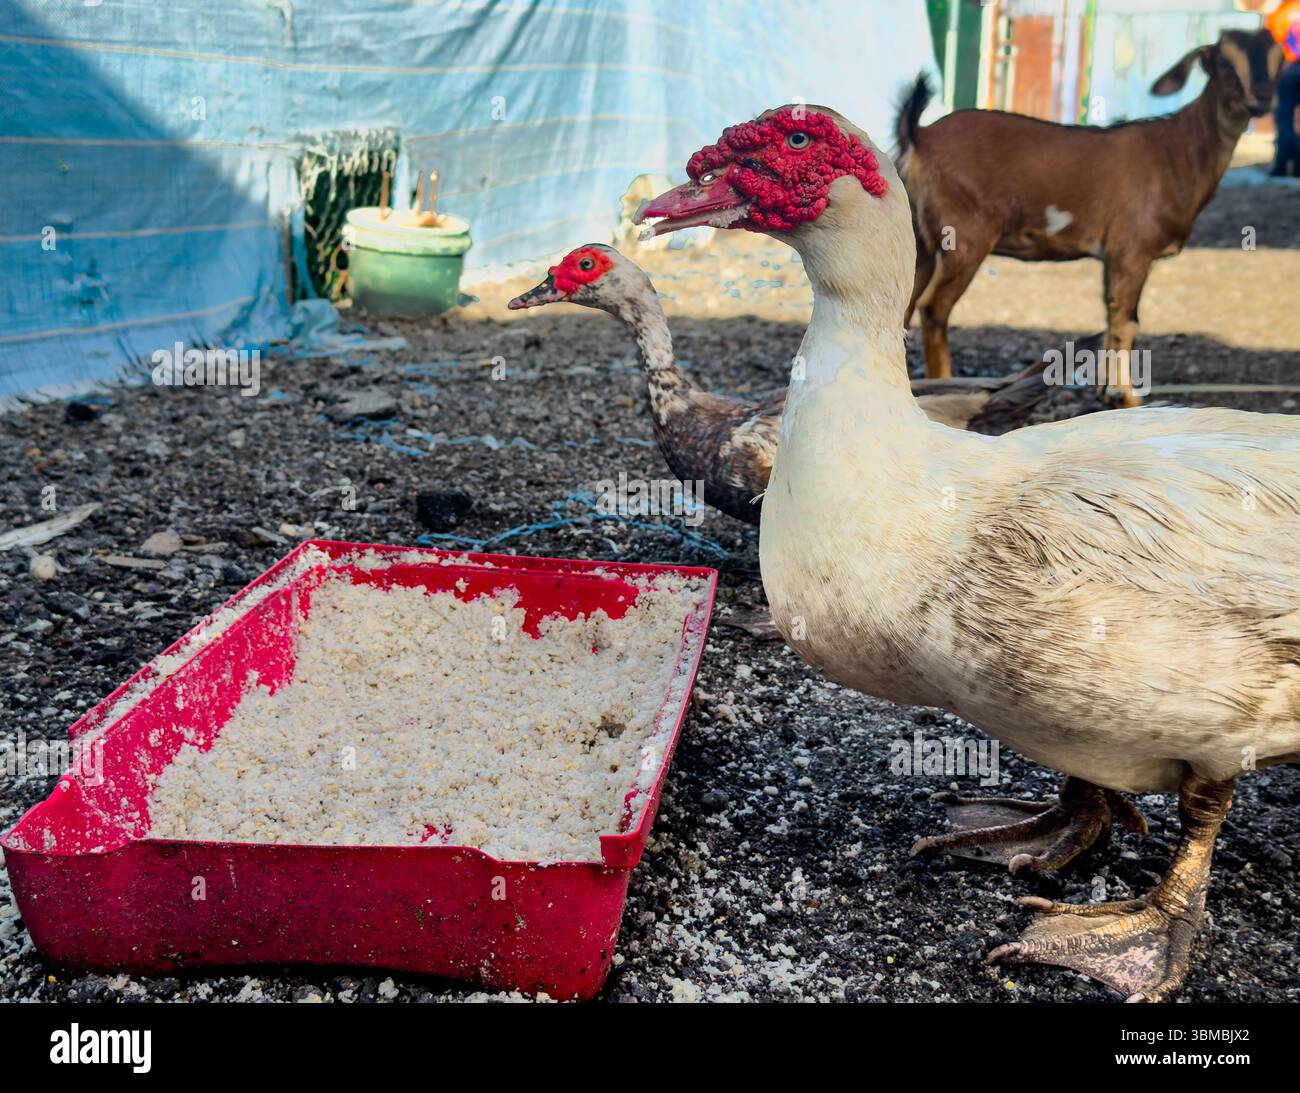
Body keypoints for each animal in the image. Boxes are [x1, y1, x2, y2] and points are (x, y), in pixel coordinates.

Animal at [896, 28, 1287, 406]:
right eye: (1223, 62)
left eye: (1279, 60)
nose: (1262, 98)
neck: (1177, 153)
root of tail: (919, 138)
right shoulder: (1132, 249)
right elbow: (1128, 321)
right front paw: (1124, 396)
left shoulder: (1113, 255)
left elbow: (1112, 317)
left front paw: (1108, 390)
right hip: (965, 235)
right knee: (934, 308)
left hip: (920, 240)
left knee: (906, 303)